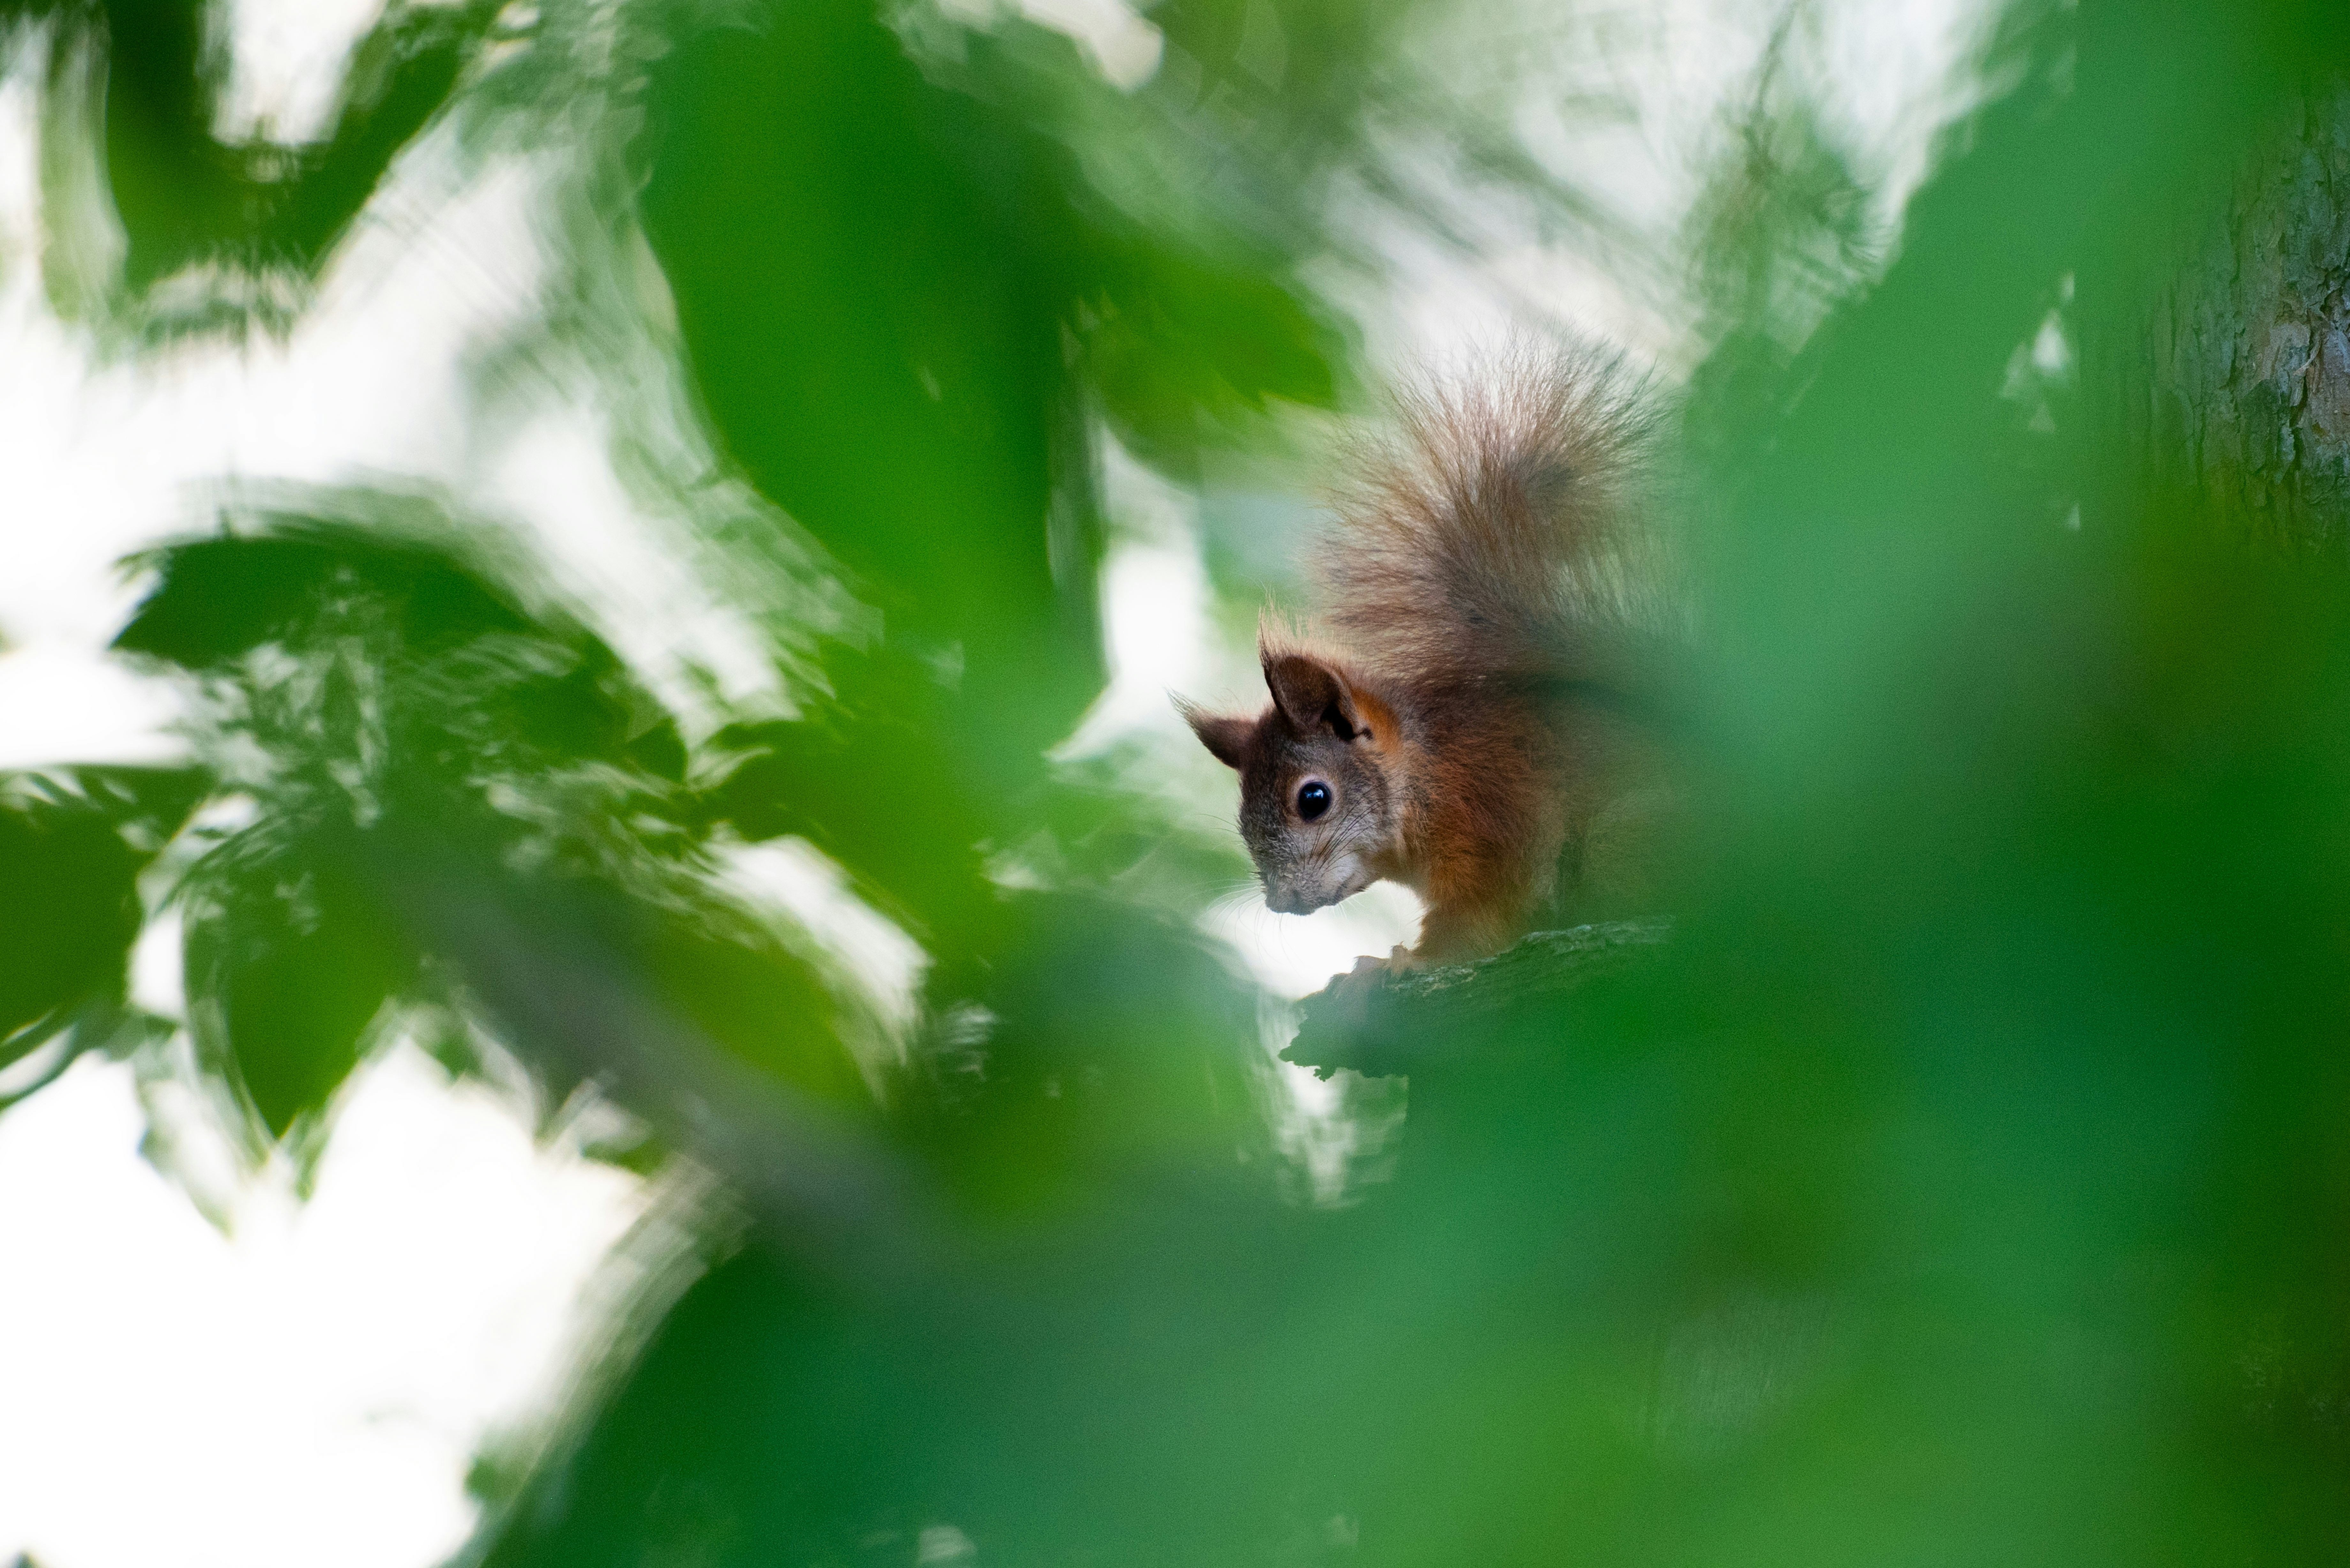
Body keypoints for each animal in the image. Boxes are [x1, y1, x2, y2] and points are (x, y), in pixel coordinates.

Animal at [1178, 347, 1686, 967]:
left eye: (1314, 798)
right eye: (1242, 813)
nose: (1283, 902)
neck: (1428, 774)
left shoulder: (1497, 819)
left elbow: (1484, 916)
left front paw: (1396, 965)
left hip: (1626, 842)